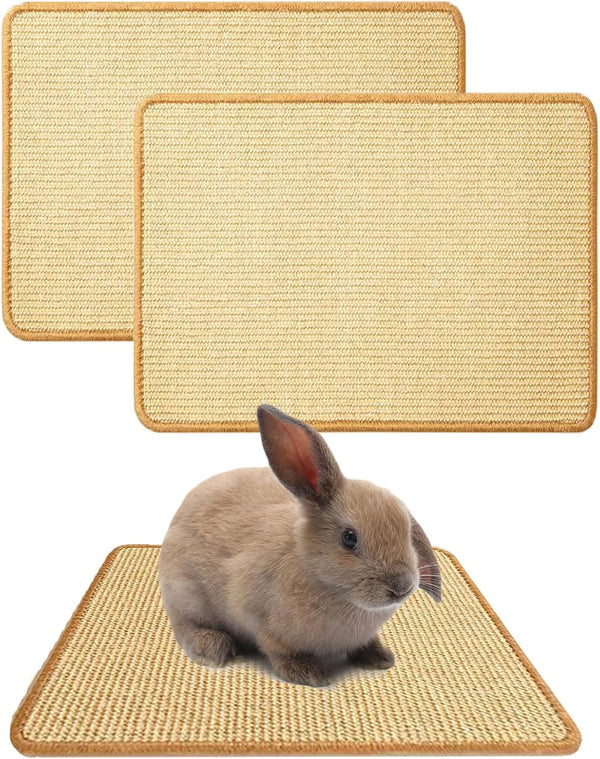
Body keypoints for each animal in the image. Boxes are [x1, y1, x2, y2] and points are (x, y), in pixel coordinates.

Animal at [159, 404, 441, 687]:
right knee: (185, 626)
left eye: (407, 531)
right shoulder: (260, 621)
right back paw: (212, 648)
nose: (402, 586)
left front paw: (381, 658)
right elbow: (278, 649)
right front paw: (308, 672)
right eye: (349, 538)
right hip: (185, 595)